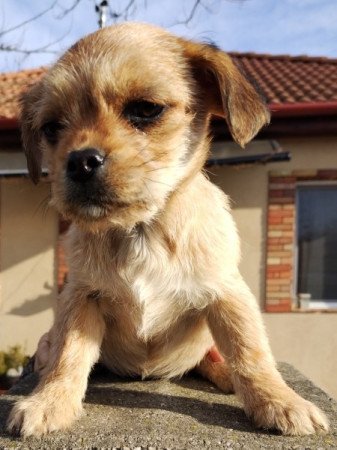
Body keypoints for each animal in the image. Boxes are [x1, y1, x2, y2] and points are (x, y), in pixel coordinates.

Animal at [8, 22, 328, 436]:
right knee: (53, 353)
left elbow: (250, 351)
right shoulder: (81, 298)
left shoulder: (228, 294)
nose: (80, 162)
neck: (141, 230)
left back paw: (226, 375)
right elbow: (69, 354)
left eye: (146, 109)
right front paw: (50, 401)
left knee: (214, 357)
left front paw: (279, 401)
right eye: (51, 128)